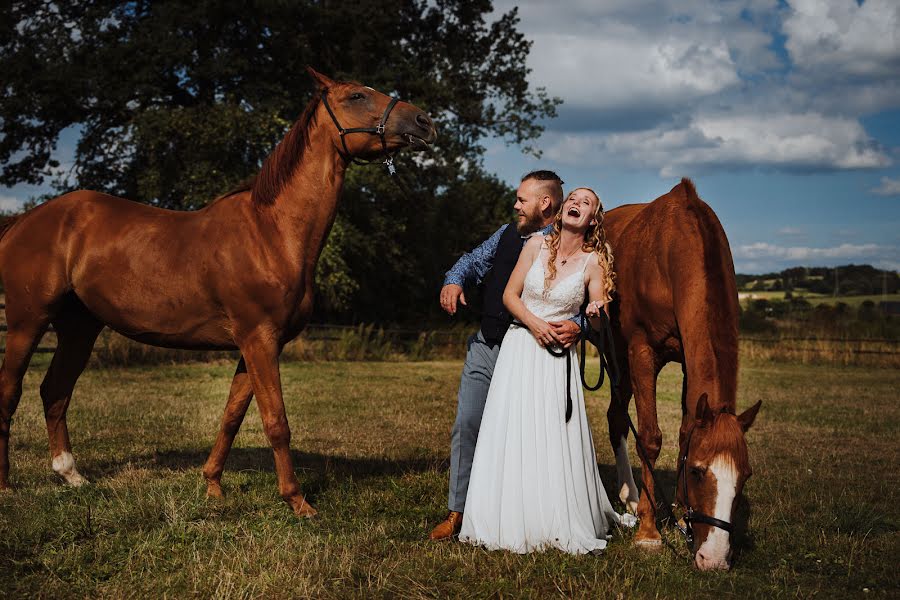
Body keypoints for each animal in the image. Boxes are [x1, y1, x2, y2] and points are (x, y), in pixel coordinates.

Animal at [0, 69, 438, 516]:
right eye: (356, 96)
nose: (424, 123)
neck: (271, 232)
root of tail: (23, 220)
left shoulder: (256, 345)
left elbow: (232, 416)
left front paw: (212, 485)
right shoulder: (259, 340)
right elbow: (276, 421)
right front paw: (297, 501)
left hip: (79, 328)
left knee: (55, 391)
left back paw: (71, 476)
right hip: (27, 322)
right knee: (10, 392)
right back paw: (6, 487)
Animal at [600, 179, 764, 572]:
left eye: (746, 476)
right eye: (698, 472)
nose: (715, 558)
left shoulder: (690, 360)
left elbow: (686, 429)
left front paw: (677, 512)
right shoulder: (642, 353)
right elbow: (650, 438)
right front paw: (648, 532)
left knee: (616, 416)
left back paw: (629, 496)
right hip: (618, 356)